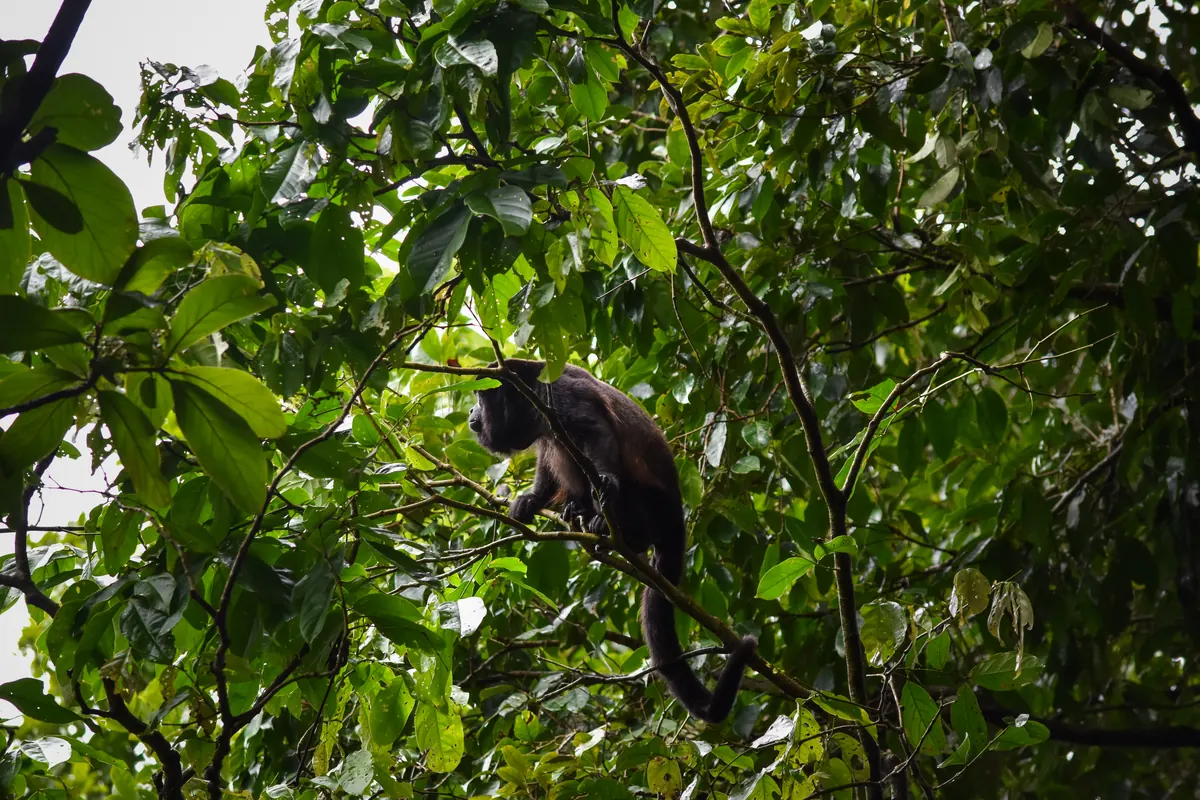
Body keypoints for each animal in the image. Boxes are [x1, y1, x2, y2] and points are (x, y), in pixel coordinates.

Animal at [467, 358, 757, 723]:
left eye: (479, 397)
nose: (470, 411)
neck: (530, 396)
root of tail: (677, 517)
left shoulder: (559, 396)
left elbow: (596, 432)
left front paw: (605, 480)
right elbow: (547, 465)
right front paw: (531, 501)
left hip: (652, 508)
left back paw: (615, 530)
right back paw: (578, 512)